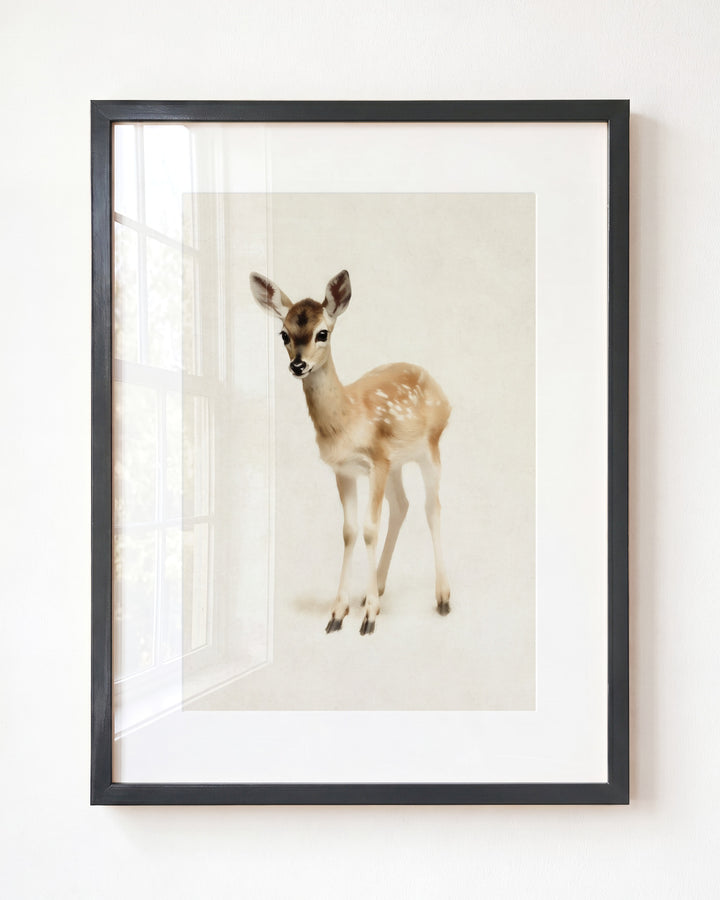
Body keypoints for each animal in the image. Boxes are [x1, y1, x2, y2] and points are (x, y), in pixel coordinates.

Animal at [250, 269, 451, 635]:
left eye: (322, 333)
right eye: (284, 333)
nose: (298, 365)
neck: (347, 421)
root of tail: (440, 389)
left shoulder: (377, 460)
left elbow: (370, 528)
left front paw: (368, 618)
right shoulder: (345, 469)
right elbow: (349, 531)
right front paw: (338, 612)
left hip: (429, 446)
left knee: (432, 506)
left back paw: (442, 597)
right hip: (397, 463)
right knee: (402, 505)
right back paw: (377, 589)